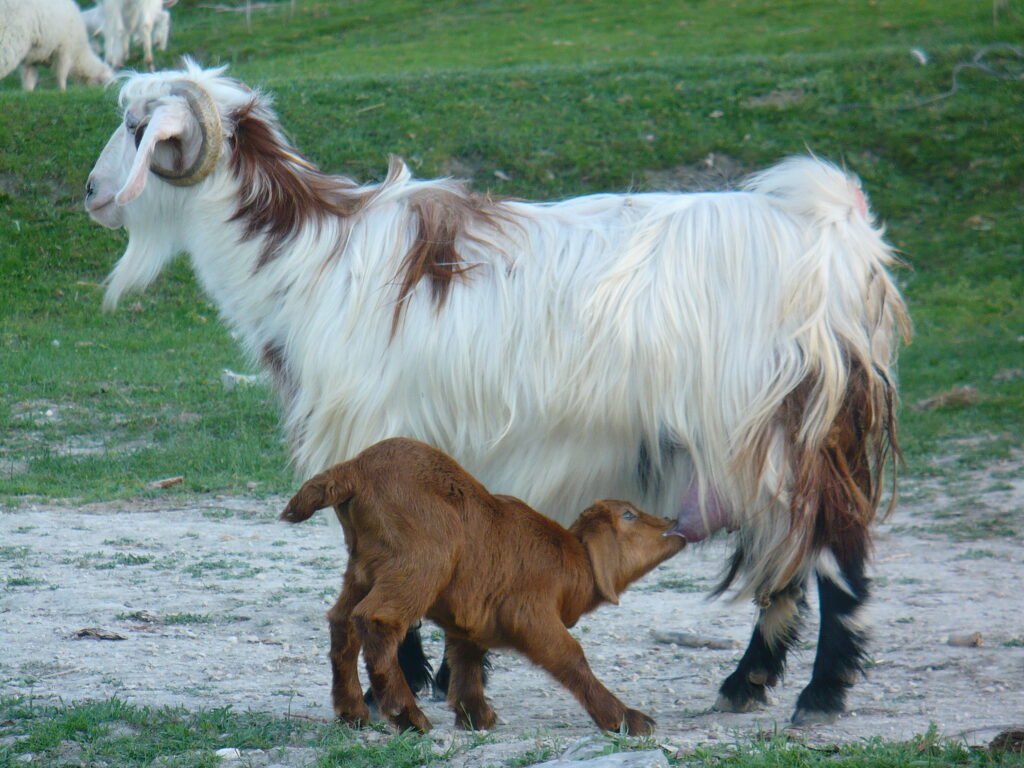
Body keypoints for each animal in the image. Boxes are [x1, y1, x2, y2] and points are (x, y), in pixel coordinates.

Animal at [81, 64, 913, 729]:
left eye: (136, 127)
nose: (91, 193)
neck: (309, 258)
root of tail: (838, 235)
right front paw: (443, 679)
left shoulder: (373, 427)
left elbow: (395, 576)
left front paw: (406, 683)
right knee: (790, 559)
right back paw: (747, 685)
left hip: (783, 424)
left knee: (833, 554)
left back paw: (818, 696)